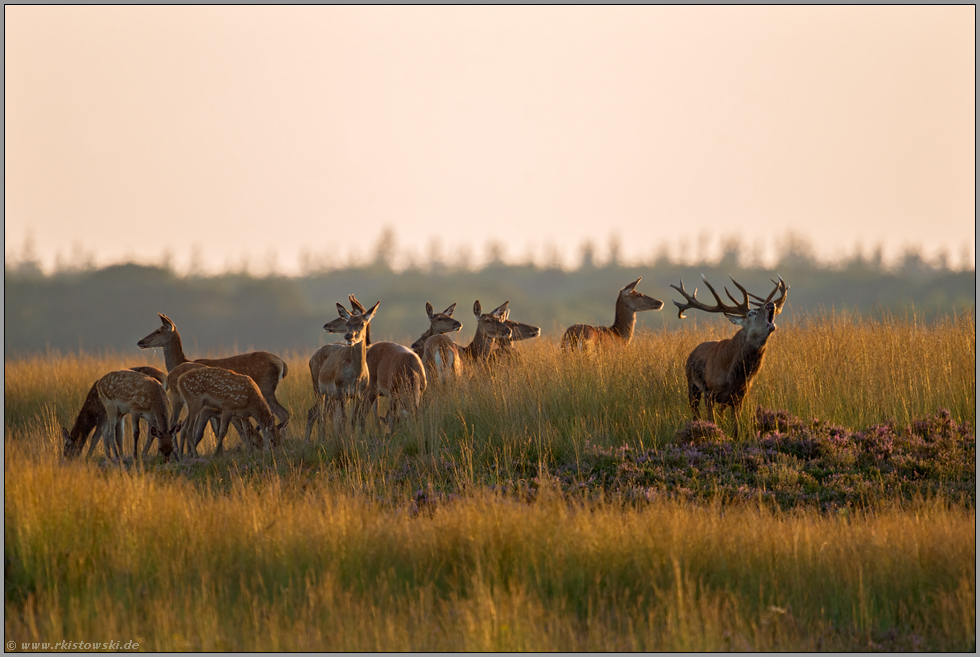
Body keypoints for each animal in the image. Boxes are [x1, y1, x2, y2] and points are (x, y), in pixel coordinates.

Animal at [138, 312, 290, 426]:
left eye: (158, 331)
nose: (140, 342)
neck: (181, 362)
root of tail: (282, 363)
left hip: (266, 388)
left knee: (283, 413)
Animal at [304, 300, 380, 438]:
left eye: (362, 323)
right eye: (347, 322)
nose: (348, 336)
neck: (356, 376)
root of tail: (312, 357)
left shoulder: (359, 394)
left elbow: (354, 419)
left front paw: (354, 438)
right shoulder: (341, 391)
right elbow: (343, 419)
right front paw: (345, 439)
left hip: (329, 395)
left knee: (320, 414)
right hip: (317, 388)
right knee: (317, 414)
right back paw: (314, 439)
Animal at [668, 274, 792, 438]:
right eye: (751, 313)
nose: (771, 304)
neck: (733, 377)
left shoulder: (739, 397)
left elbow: (736, 428)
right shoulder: (709, 391)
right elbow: (711, 421)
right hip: (691, 384)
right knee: (695, 414)